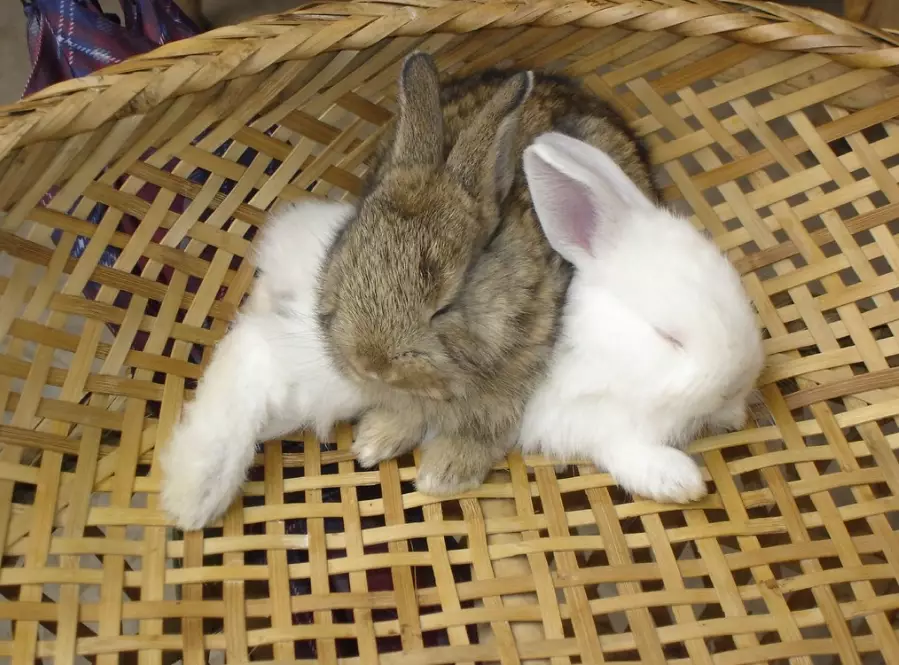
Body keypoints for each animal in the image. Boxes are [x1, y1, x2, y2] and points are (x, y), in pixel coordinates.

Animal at [318, 52, 655, 495]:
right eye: (349, 257)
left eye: (444, 306)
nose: (371, 362)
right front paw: (373, 443)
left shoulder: (514, 388)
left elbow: (482, 430)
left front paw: (441, 475)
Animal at [518, 132, 765, 504]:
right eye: (667, 336)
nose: (736, 383)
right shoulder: (572, 419)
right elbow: (620, 446)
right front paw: (680, 482)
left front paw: (733, 415)